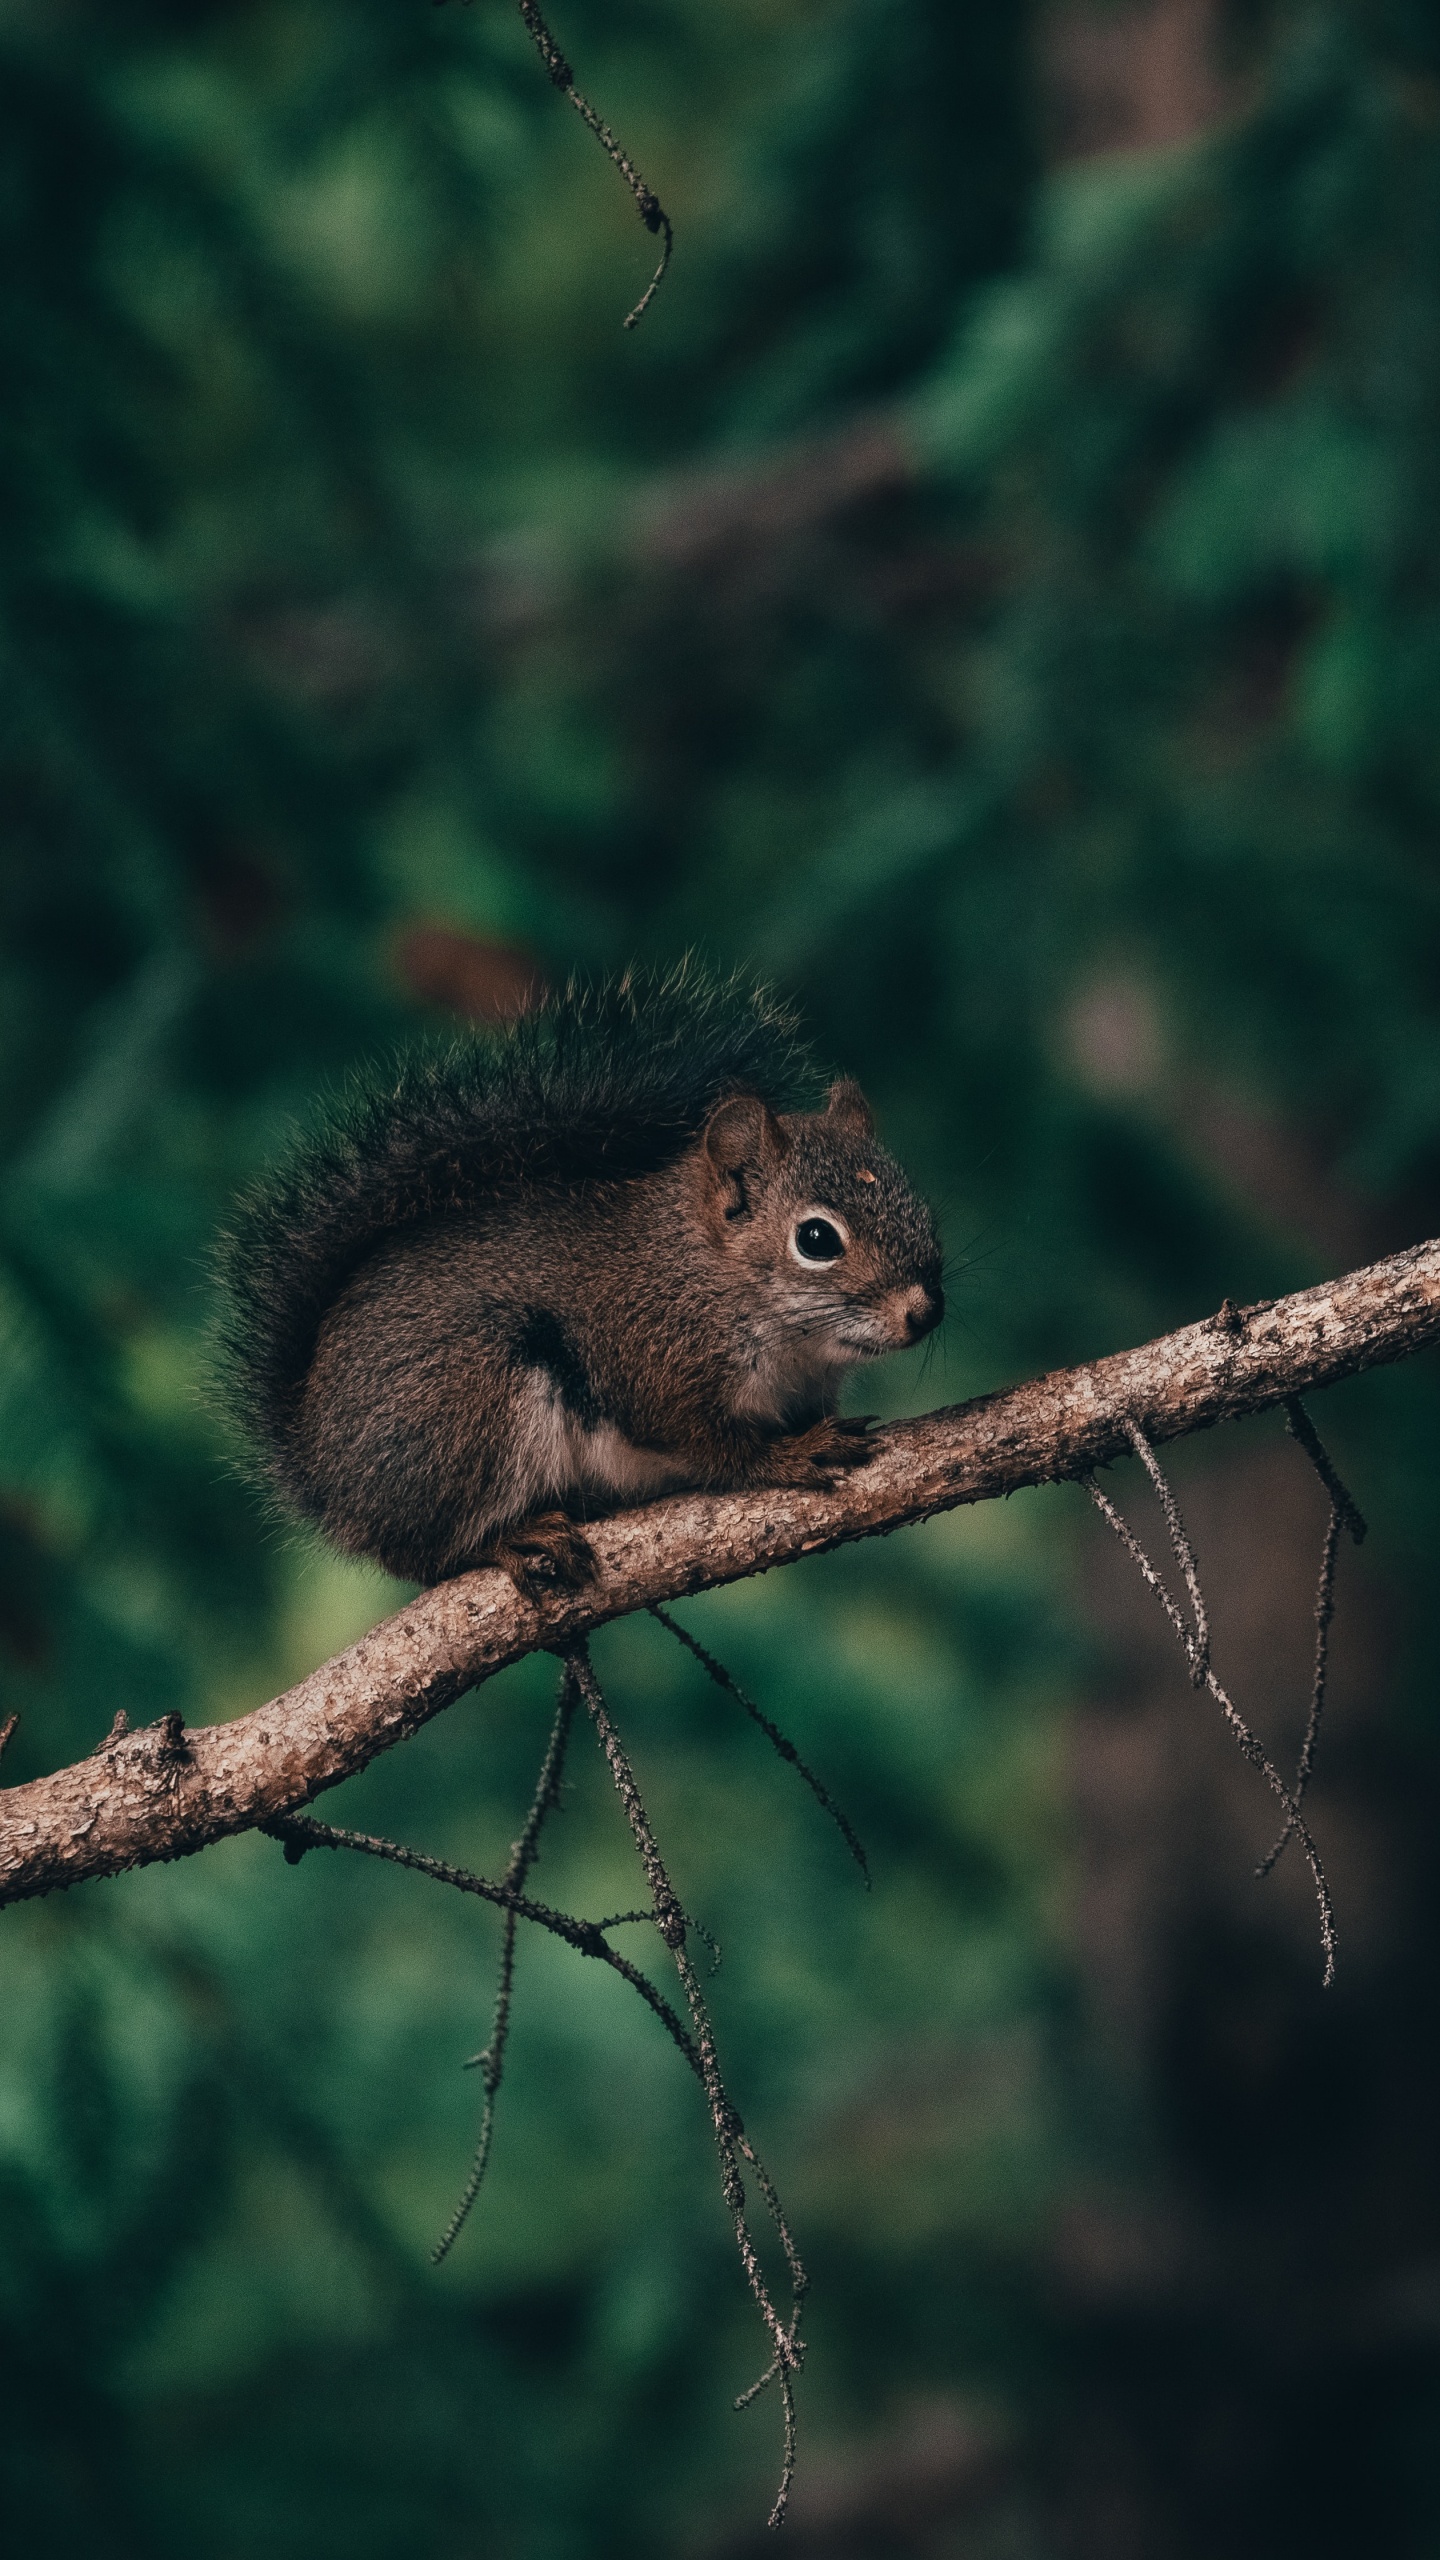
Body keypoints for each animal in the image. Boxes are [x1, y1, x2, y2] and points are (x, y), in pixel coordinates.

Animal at [215, 962, 942, 1587]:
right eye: (816, 1239)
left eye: (921, 1205)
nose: (925, 1311)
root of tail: (325, 1476)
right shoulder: (655, 1361)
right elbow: (710, 1443)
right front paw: (786, 1457)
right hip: (470, 1405)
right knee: (425, 1555)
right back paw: (512, 1538)